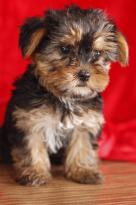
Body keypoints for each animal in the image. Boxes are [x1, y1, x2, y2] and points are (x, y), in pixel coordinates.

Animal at [0, 5, 129, 185]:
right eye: (65, 49)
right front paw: (35, 173)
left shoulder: (85, 122)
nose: (84, 74)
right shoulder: (29, 120)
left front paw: (83, 170)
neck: (65, 97)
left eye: (97, 53)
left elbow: (82, 145)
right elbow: (32, 145)